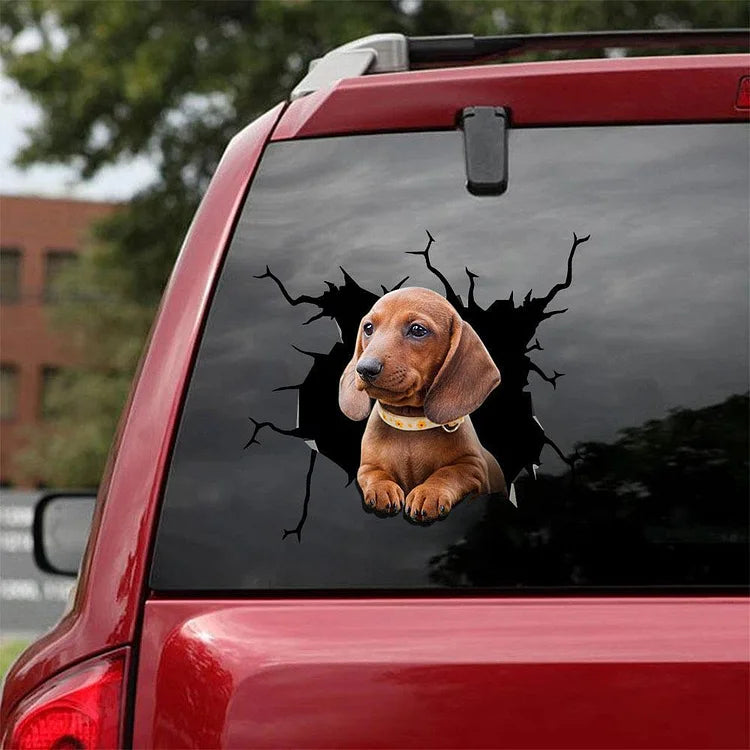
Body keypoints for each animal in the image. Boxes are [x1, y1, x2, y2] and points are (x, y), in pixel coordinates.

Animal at [340, 288, 506, 524]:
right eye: (368, 327)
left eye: (418, 330)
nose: (364, 368)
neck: (410, 423)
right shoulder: (367, 467)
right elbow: (375, 474)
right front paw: (383, 488)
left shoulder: (473, 467)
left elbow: (449, 472)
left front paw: (429, 492)